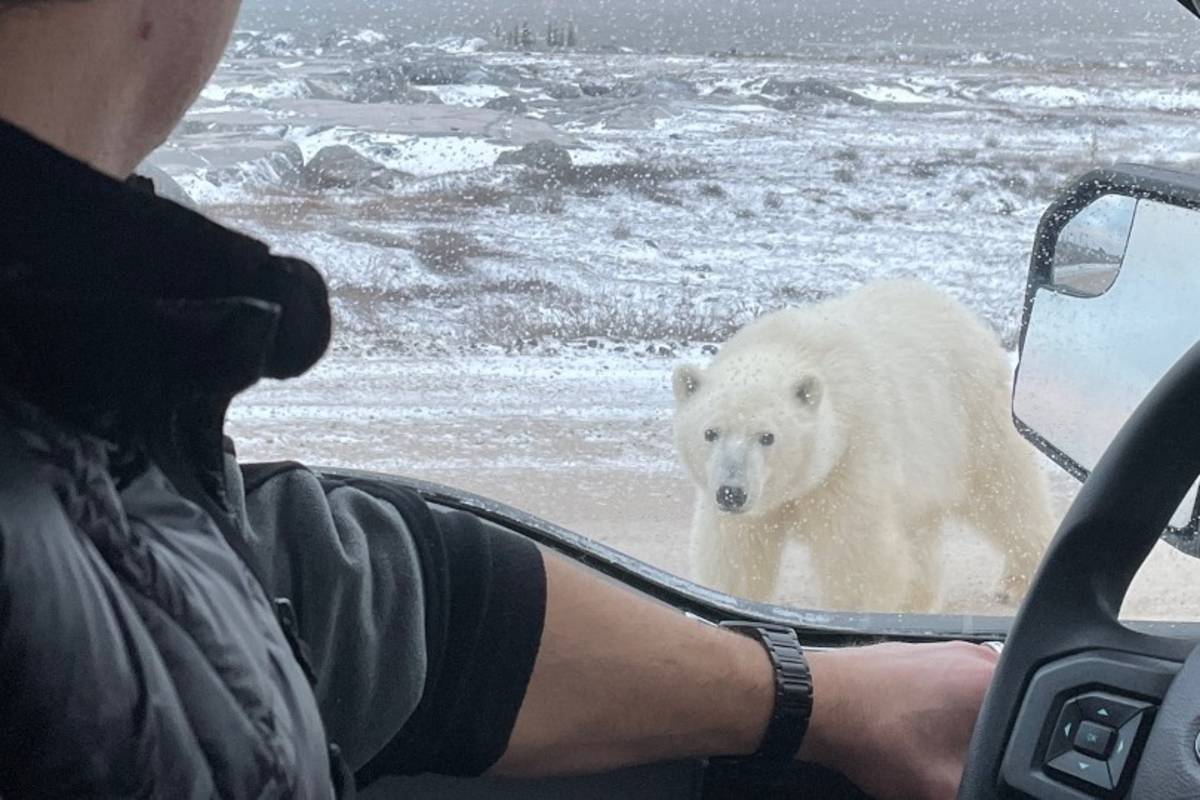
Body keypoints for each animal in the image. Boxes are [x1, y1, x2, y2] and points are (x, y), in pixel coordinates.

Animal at [671, 278, 1056, 613]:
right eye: (710, 432)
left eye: (767, 436)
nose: (731, 492)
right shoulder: (750, 504)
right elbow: (738, 553)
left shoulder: (852, 453)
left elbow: (856, 556)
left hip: (973, 416)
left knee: (1004, 492)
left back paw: (1015, 582)